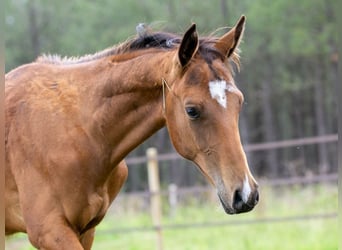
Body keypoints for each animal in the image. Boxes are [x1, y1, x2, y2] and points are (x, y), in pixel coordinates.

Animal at [5, 15, 258, 248]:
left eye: (239, 102)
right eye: (192, 110)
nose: (245, 194)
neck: (77, 130)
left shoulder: (86, 231)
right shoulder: (49, 231)